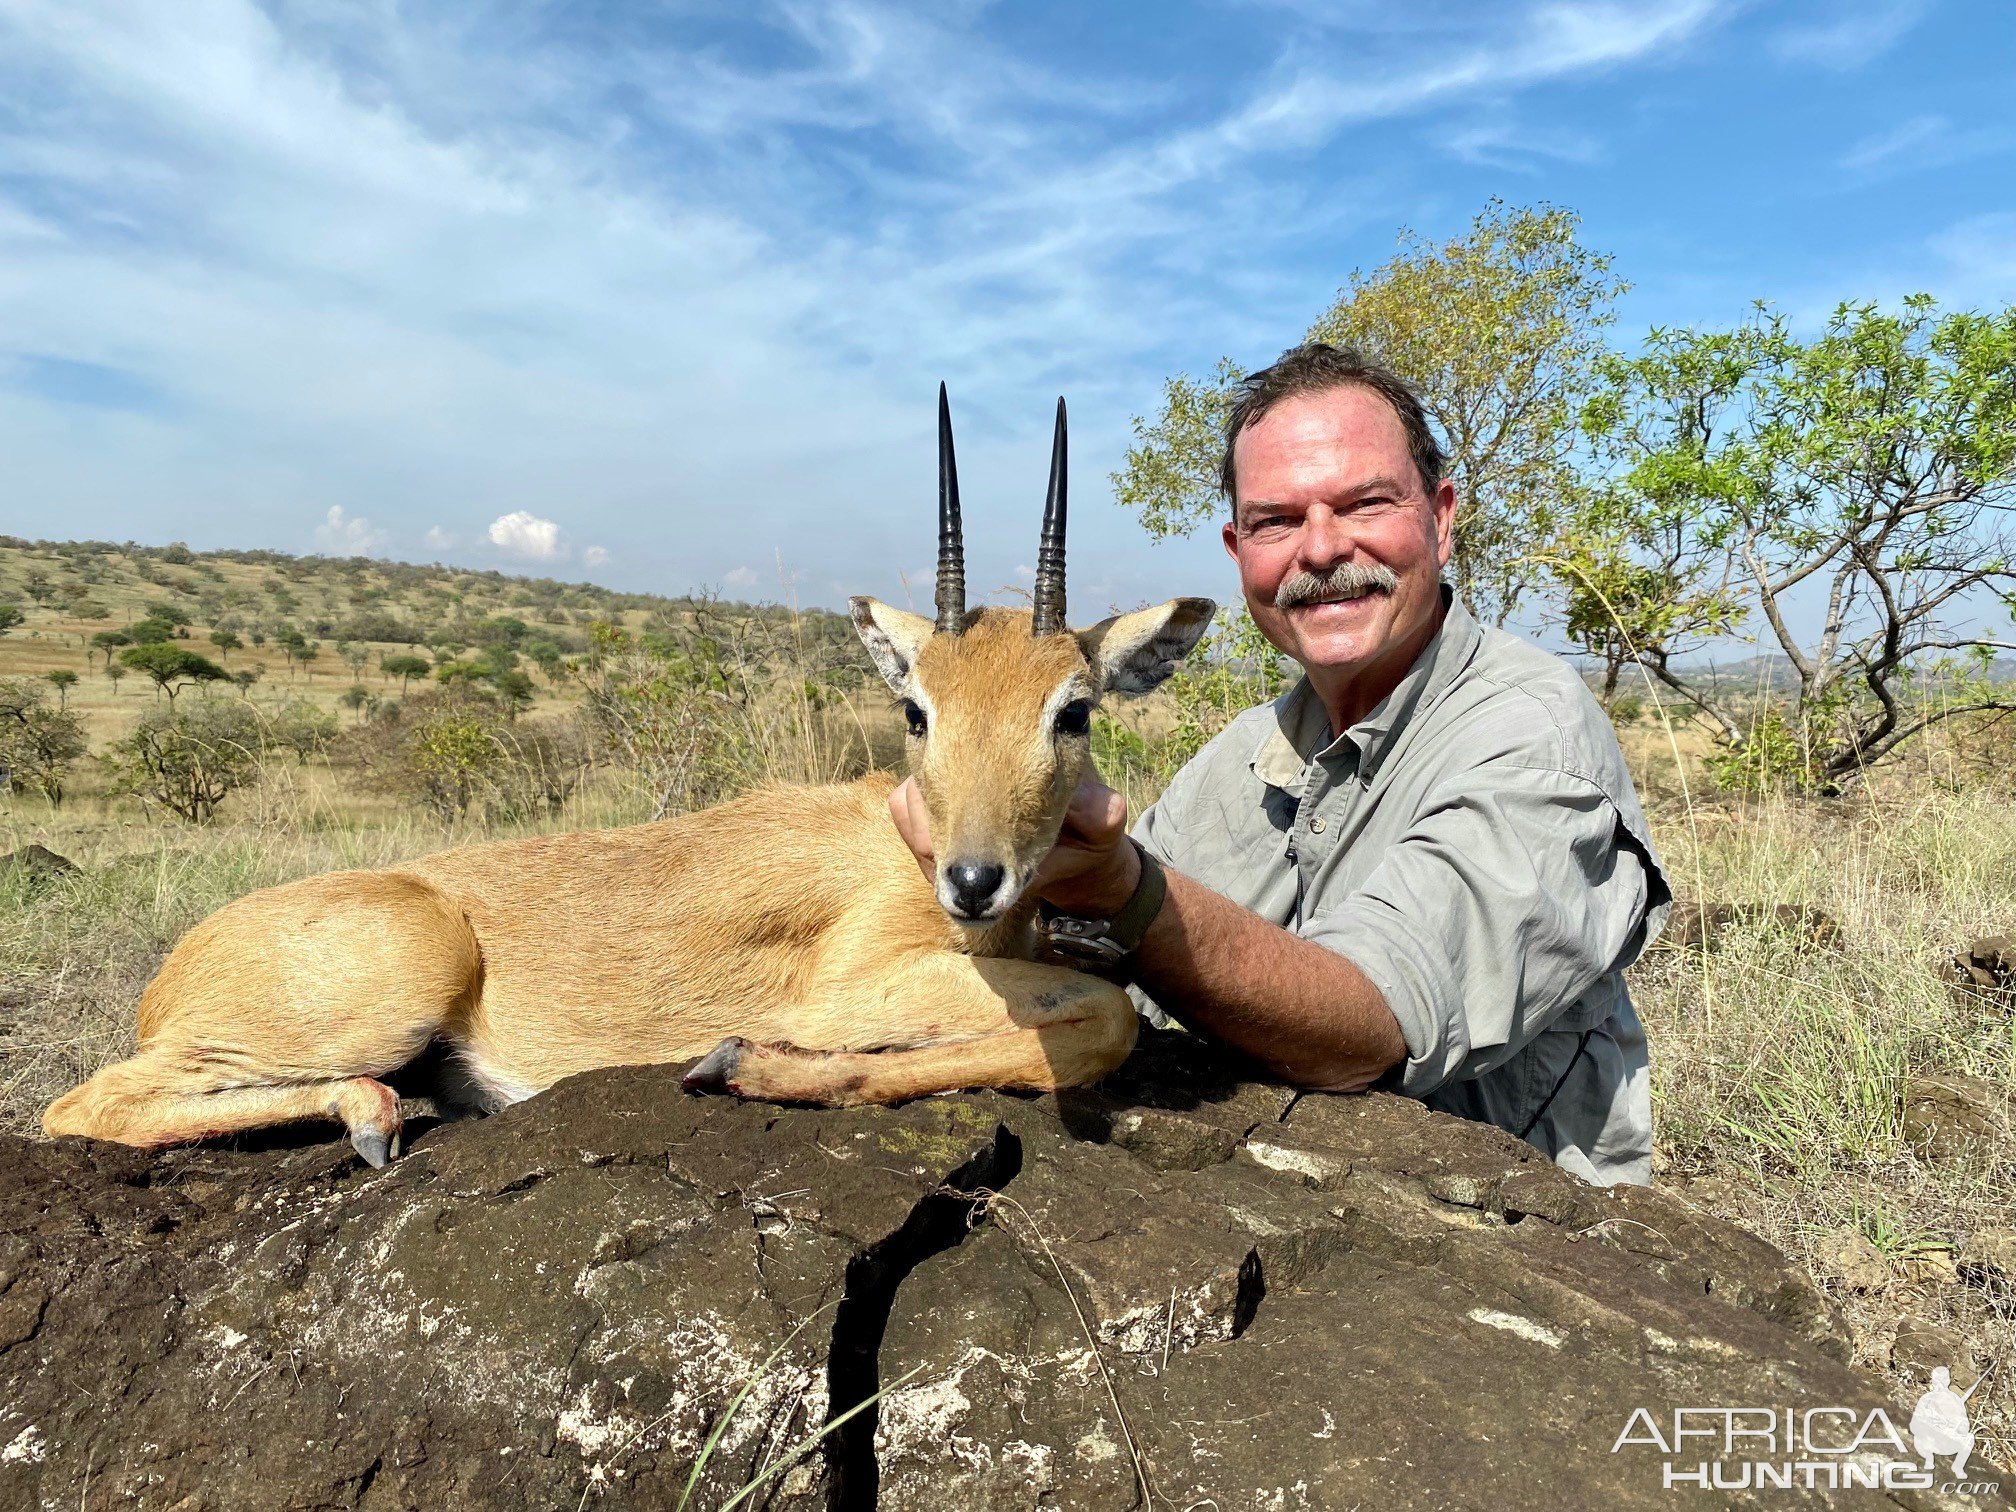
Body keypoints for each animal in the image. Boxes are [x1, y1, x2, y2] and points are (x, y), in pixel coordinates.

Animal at [43, 393, 1209, 1169]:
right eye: (917, 709)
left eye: (1073, 709)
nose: (973, 880)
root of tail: (172, 972)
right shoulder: (853, 986)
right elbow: (1104, 1017)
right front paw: (741, 1058)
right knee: (78, 1104)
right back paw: (372, 1118)